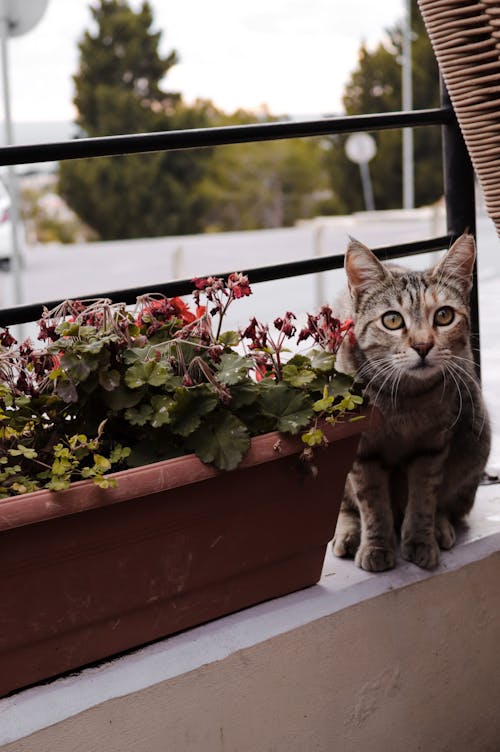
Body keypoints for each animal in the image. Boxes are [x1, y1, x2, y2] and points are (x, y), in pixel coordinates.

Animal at [332, 232, 488, 572]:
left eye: (444, 315)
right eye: (392, 320)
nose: (423, 345)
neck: (405, 397)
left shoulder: (431, 447)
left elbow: (424, 497)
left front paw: (419, 539)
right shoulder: (362, 452)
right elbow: (371, 503)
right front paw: (377, 545)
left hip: (476, 434)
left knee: (447, 502)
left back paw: (439, 526)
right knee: (344, 505)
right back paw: (348, 533)